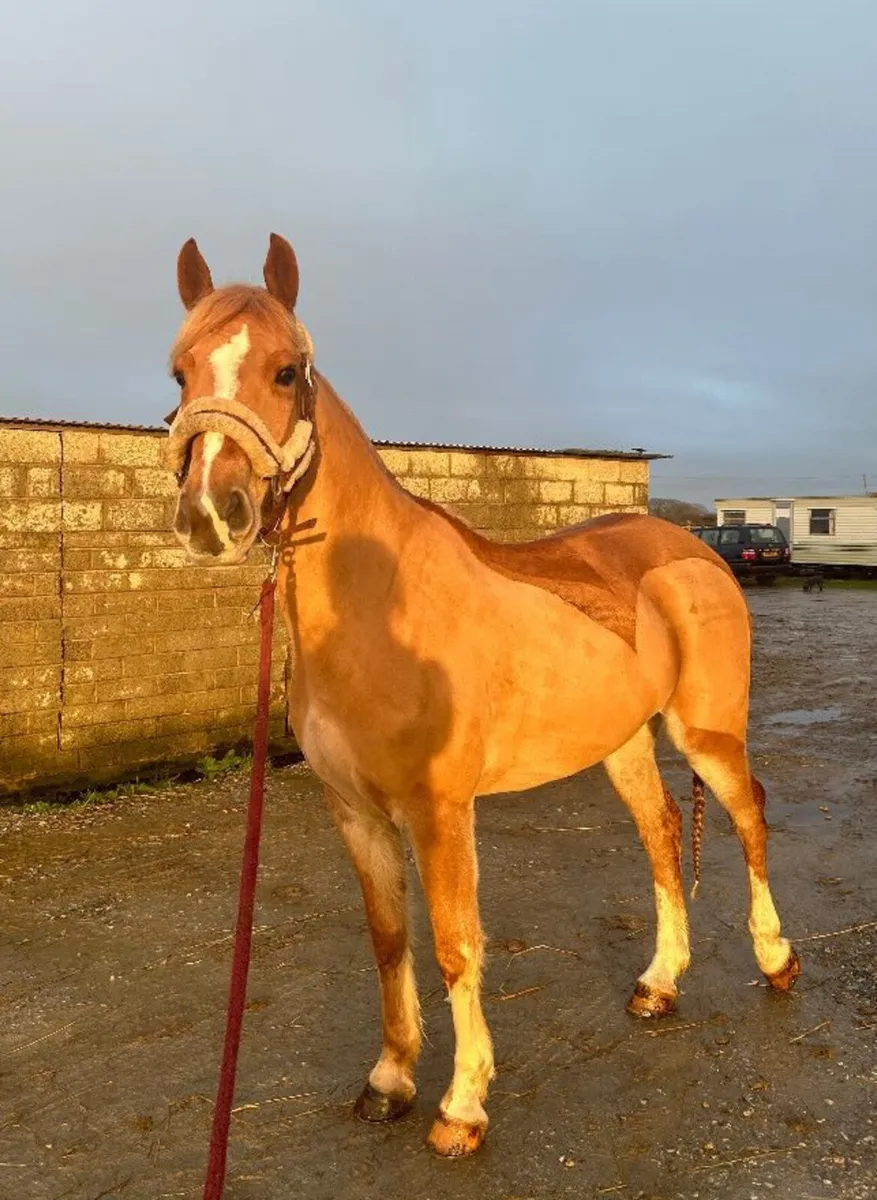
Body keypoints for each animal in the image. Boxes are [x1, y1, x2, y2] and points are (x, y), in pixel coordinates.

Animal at [165, 234, 799, 1157]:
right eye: (179, 373)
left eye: (287, 370)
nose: (213, 513)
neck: (380, 603)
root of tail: (692, 548)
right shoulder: (353, 810)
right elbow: (389, 940)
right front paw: (389, 1080)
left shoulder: (440, 811)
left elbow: (455, 945)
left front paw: (461, 1106)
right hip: (622, 741)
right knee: (658, 836)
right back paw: (659, 983)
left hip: (706, 732)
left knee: (748, 817)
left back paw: (775, 959)